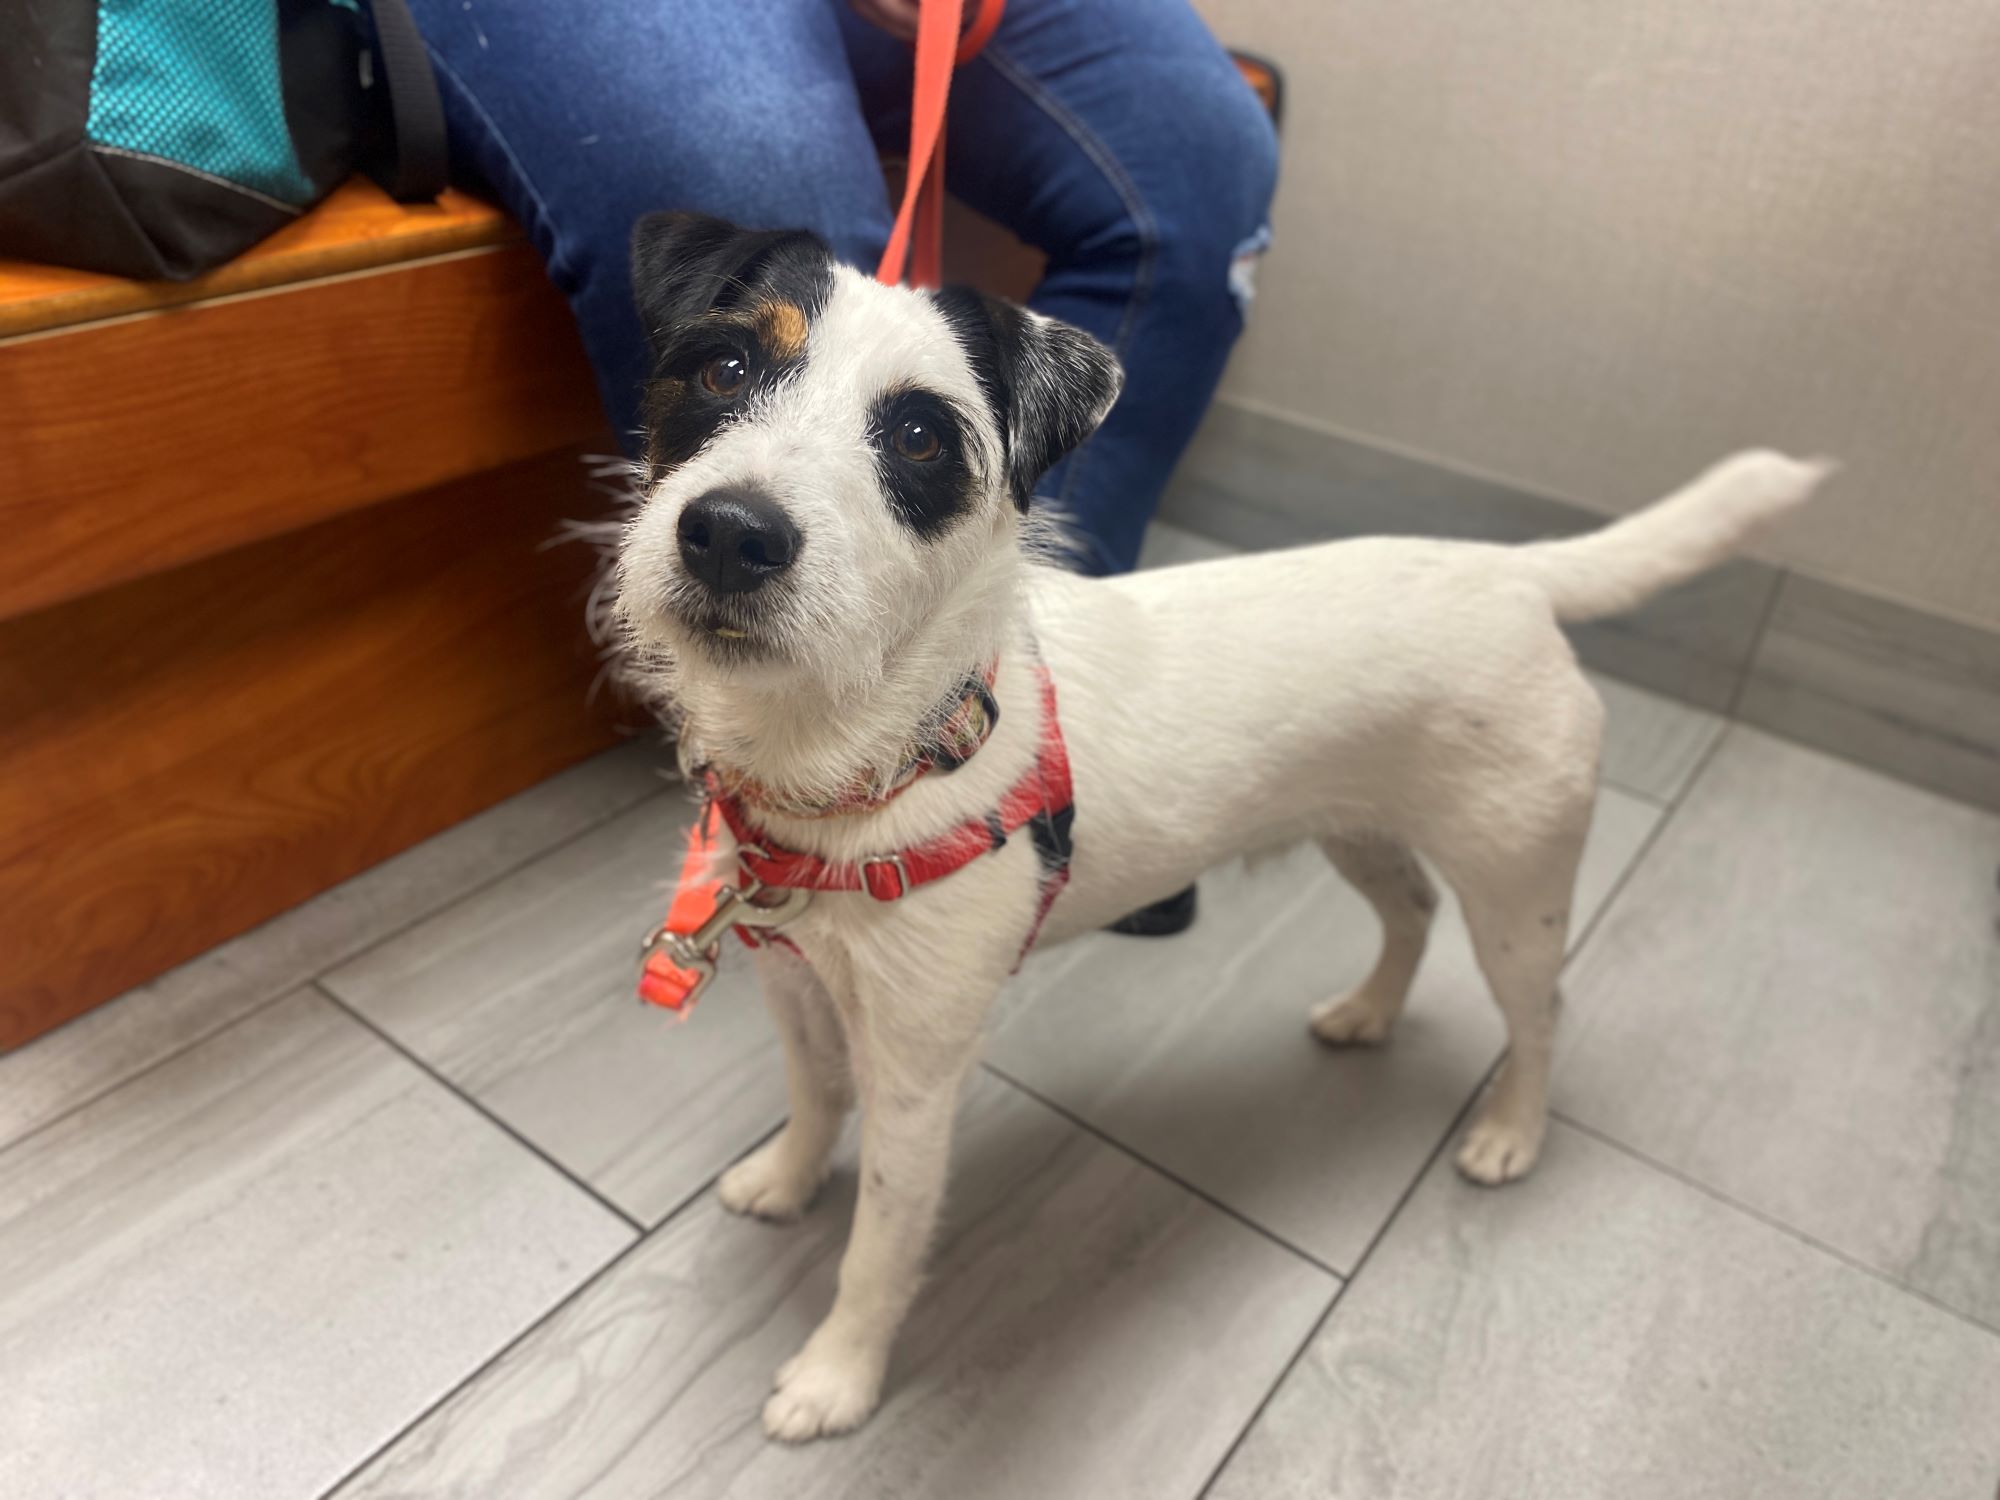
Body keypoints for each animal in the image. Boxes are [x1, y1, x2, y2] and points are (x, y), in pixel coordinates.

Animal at [608, 212, 1832, 1448]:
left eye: (917, 437)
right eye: (722, 369)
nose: (730, 534)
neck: (881, 751)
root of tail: (1508, 574)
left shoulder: (917, 1071)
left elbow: (881, 1240)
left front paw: (837, 1376)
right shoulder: (799, 986)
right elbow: (814, 1102)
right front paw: (785, 1180)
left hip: (1517, 887)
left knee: (1537, 1014)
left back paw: (1510, 1134)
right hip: (1358, 830)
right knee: (1410, 913)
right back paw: (1368, 1013)